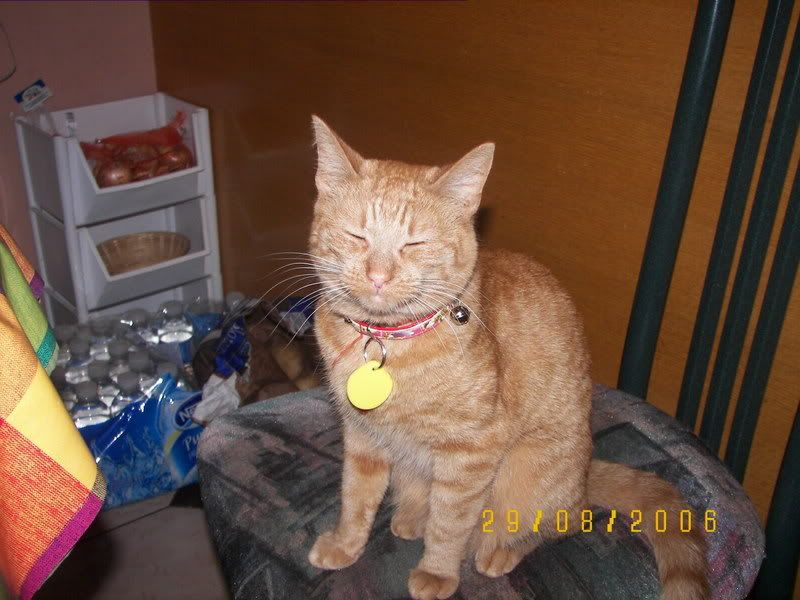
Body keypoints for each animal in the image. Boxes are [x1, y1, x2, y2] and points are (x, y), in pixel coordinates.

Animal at [306, 115, 709, 600]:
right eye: (356, 236)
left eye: (416, 243)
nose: (378, 277)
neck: (389, 343)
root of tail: (586, 470)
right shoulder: (362, 436)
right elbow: (356, 498)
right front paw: (345, 545)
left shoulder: (470, 453)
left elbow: (449, 522)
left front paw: (437, 573)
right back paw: (410, 518)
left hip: (525, 474)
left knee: (562, 521)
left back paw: (501, 551)